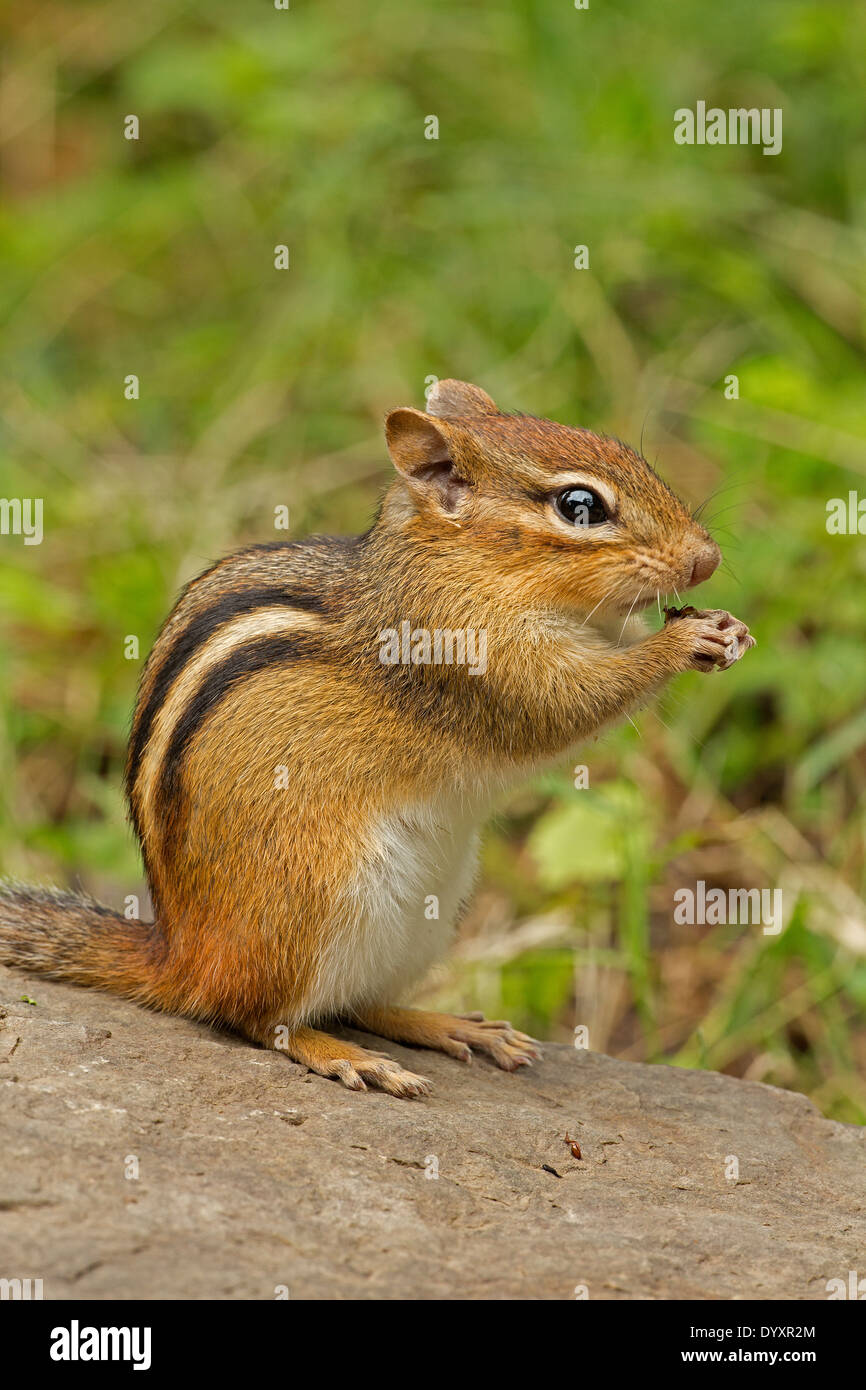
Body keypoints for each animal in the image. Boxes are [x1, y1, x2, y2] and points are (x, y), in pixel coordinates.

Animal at [0, 379, 755, 1098]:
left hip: (427, 914)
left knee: (358, 1003)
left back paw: (448, 1025)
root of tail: (180, 953)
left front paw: (726, 627)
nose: (708, 557)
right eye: (579, 507)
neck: (459, 565)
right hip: (316, 903)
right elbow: (566, 705)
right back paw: (345, 1057)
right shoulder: (474, 658)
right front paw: (680, 643)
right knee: (257, 1017)